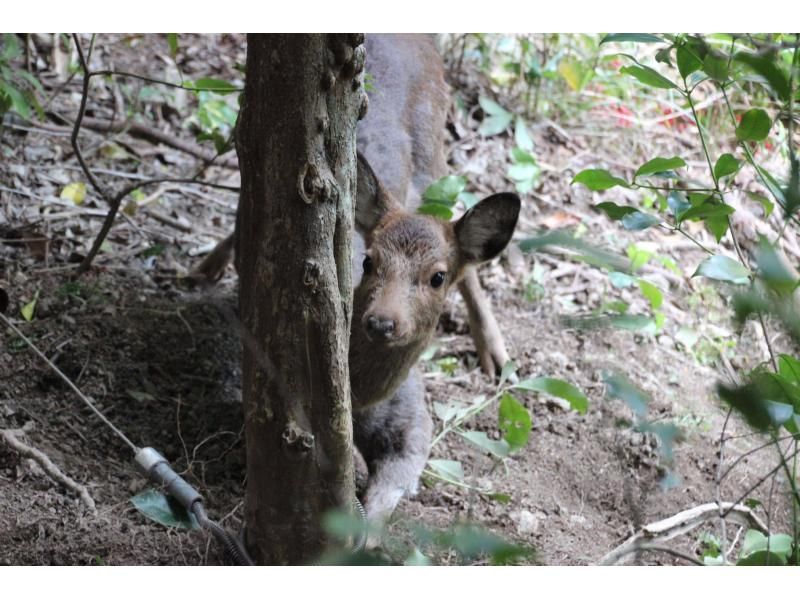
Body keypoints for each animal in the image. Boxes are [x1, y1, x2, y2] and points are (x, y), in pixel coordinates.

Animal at [193, 34, 520, 533]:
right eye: (368, 261)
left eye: (437, 276)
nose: (382, 321)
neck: (358, 398)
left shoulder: (414, 418)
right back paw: (207, 264)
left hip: (434, 147)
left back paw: (496, 354)